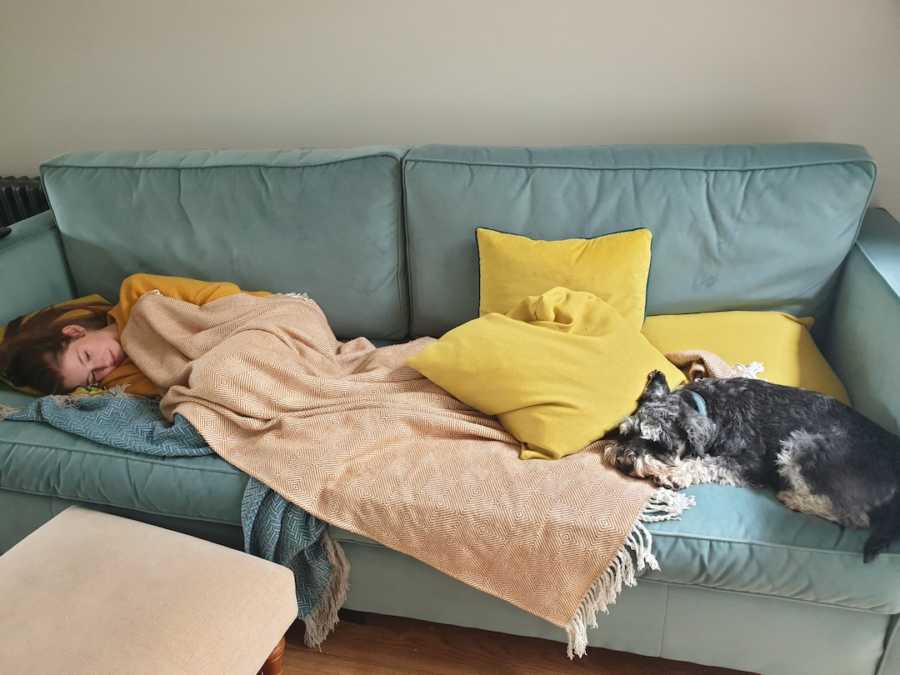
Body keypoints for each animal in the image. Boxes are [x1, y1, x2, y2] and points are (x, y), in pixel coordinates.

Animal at [604, 372, 900, 564]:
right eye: (625, 433)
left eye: (658, 442)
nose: (624, 460)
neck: (706, 407)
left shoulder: (748, 462)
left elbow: (706, 463)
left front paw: (674, 473)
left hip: (803, 445)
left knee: (855, 516)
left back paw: (793, 498)